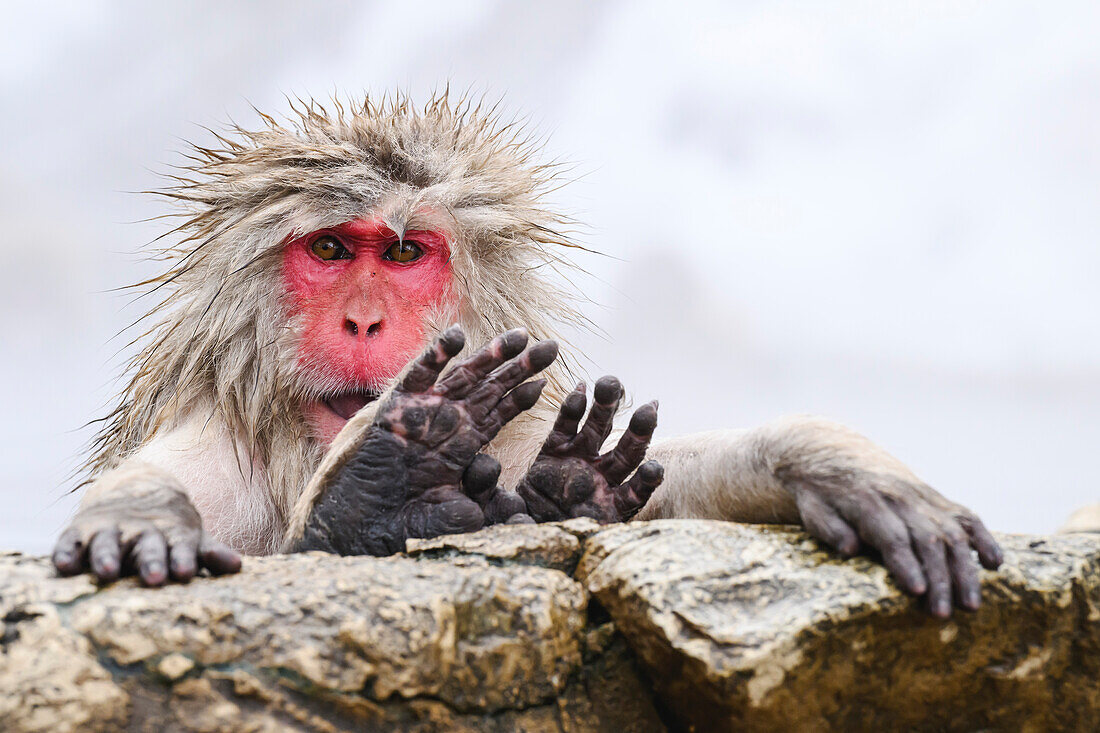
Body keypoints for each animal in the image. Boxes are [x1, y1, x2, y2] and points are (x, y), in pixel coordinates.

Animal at [51, 93, 1003, 616]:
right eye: (328, 250)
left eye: (404, 253)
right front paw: (139, 517)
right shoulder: (222, 445)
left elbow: (673, 490)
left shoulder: (506, 425)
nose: (362, 320)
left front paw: (825, 461)